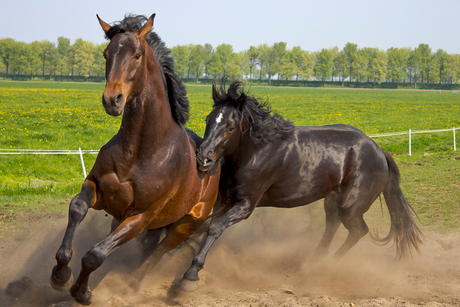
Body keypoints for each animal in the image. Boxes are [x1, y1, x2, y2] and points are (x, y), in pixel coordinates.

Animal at [49, 13, 219, 306]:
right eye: (106, 53)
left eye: (137, 55)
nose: (112, 100)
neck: (140, 152)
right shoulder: (99, 190)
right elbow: (77, 208)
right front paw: (60, 275)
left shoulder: (141, 217)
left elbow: (95, 254)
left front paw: (82, 292)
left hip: (184, 226)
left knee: (156, 256)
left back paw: (138, 286)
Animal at [179, 79, 424, 292]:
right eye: (208, 119)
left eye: (230, 127)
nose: (203, 158)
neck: (254, 152)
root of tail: (379, 151)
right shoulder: (224, 200)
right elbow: (201, 226)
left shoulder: (245, 205)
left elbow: (215, 227)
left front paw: (190, 274)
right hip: (332, 200)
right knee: (332, 226)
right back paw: (310, 262)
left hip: (350, 207)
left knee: (358, 231)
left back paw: (324, 266)